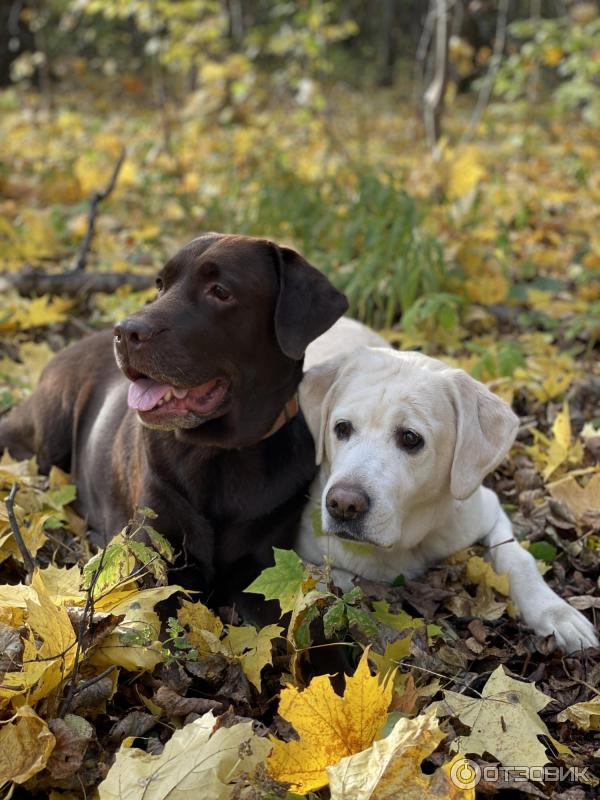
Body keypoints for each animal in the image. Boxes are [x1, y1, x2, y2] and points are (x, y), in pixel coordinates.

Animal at [0, 231, 346, 600]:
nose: (125, 332)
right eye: (160, 284)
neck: (218, 454)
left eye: (220, 291)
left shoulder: (262, 565)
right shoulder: (152, 555)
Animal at [298, 322, 596, 652]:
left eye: (410, 438)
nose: (343, 504)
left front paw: (557, 614)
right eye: (342, 428)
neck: (413, 538)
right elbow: (332, 581)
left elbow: (518, 559)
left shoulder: (488, 510)